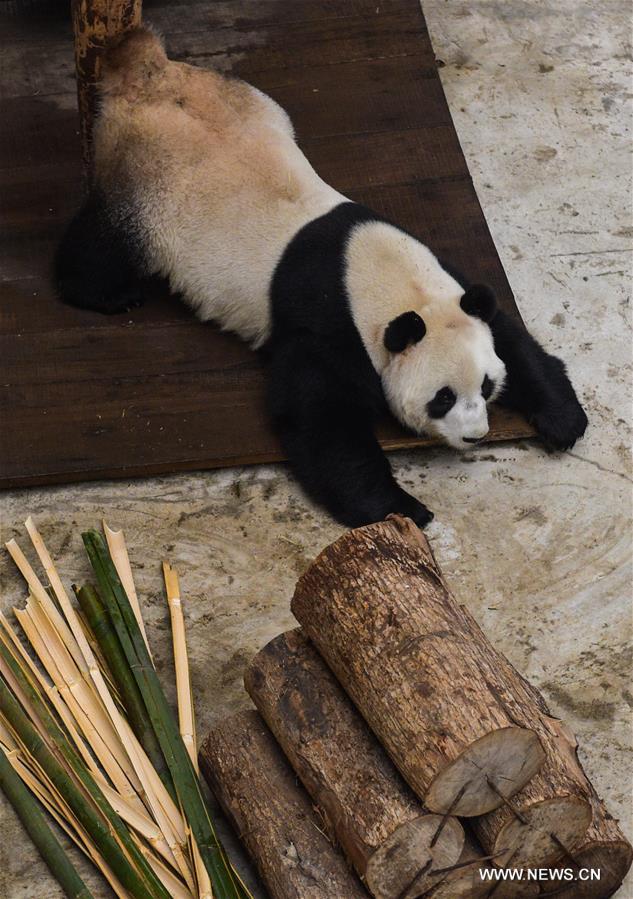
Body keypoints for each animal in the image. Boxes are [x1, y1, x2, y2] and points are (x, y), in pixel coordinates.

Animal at [56, 29, 584, 528]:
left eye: (488, 385)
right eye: (443, 398)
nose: (475, 436)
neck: (378, 271)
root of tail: (149, 71)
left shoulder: (449, 283)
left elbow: (511, 336)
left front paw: (564, 419)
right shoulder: (330, 324)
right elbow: (319, 419)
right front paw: (402, 508)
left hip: (250, 99)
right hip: (147, 180)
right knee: (106, 242)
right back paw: (109, 294)